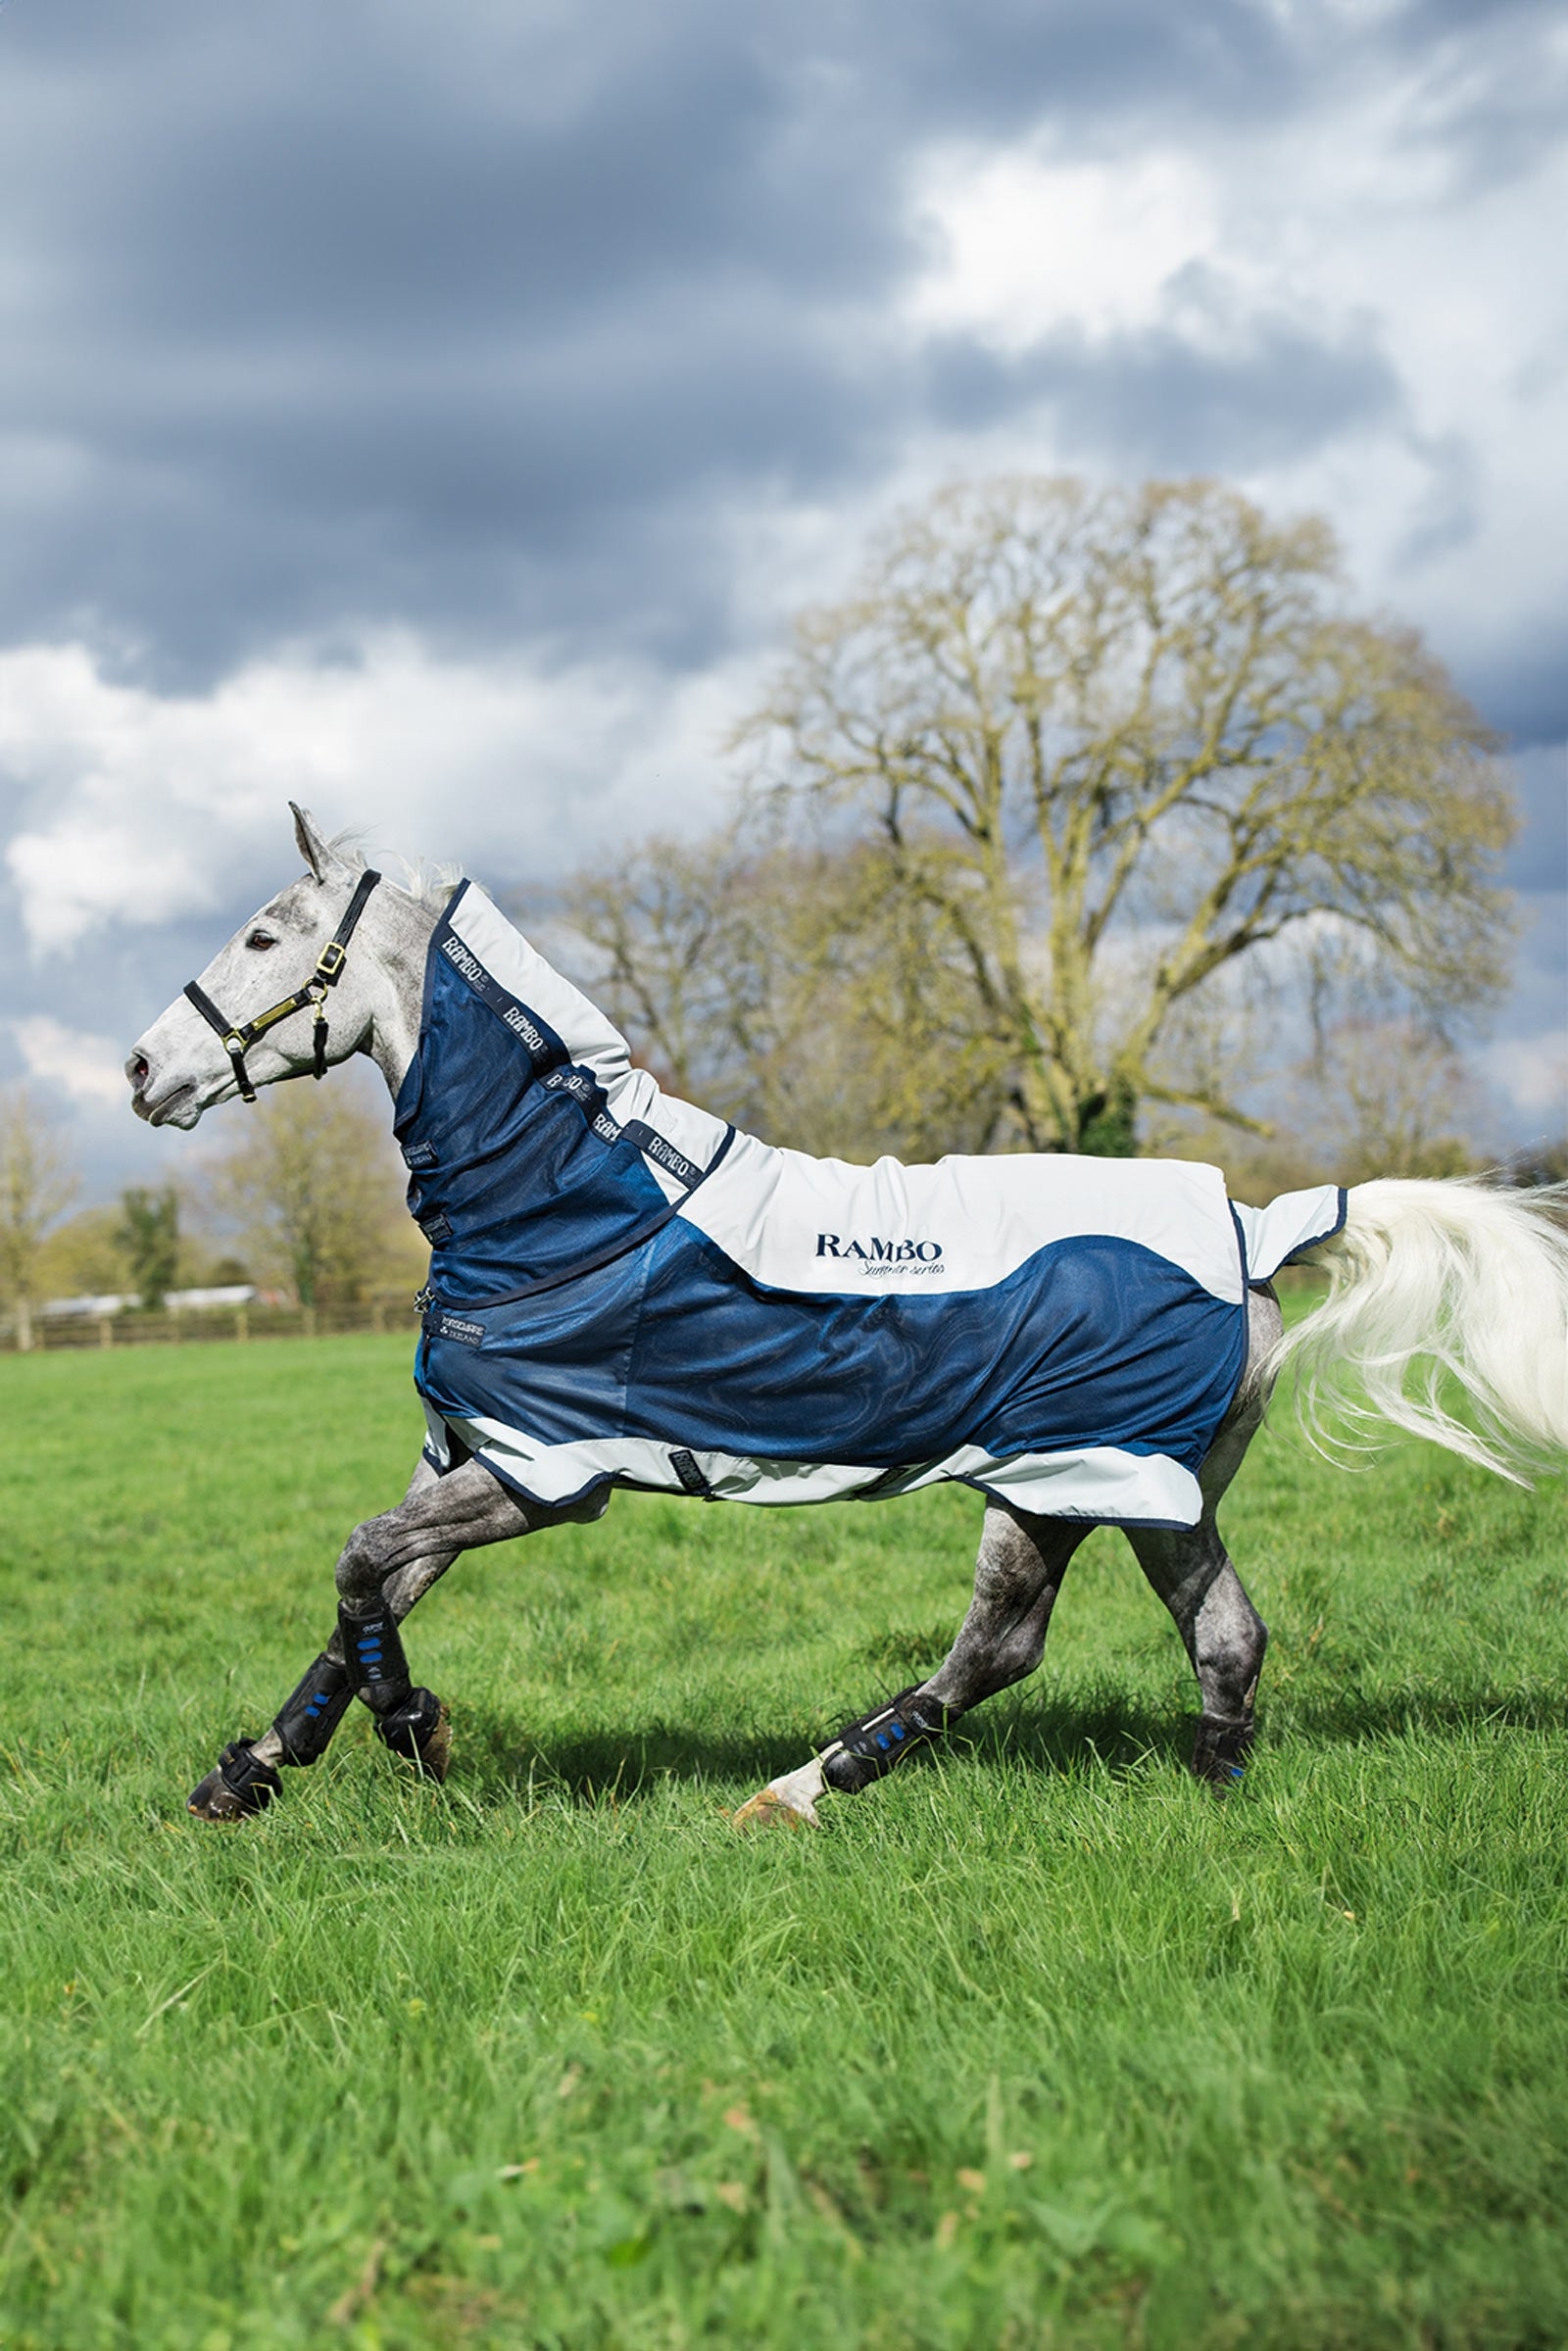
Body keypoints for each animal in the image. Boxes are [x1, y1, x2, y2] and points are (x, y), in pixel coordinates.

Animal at [126, 806, 1568, 1826]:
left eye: (265, 936)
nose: (144, 1068)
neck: (574, 1206)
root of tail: (1252, 1224)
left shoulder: (549, 1472)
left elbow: (360, 1560)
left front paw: (409, 1726)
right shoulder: (477, 1453)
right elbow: (366, 1583)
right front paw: (252, 1769)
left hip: (1062, 1476)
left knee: (1002, 1643)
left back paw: (804, 1787)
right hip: (1145, 1487)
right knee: (1222, 1635)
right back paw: (1207, 1796)